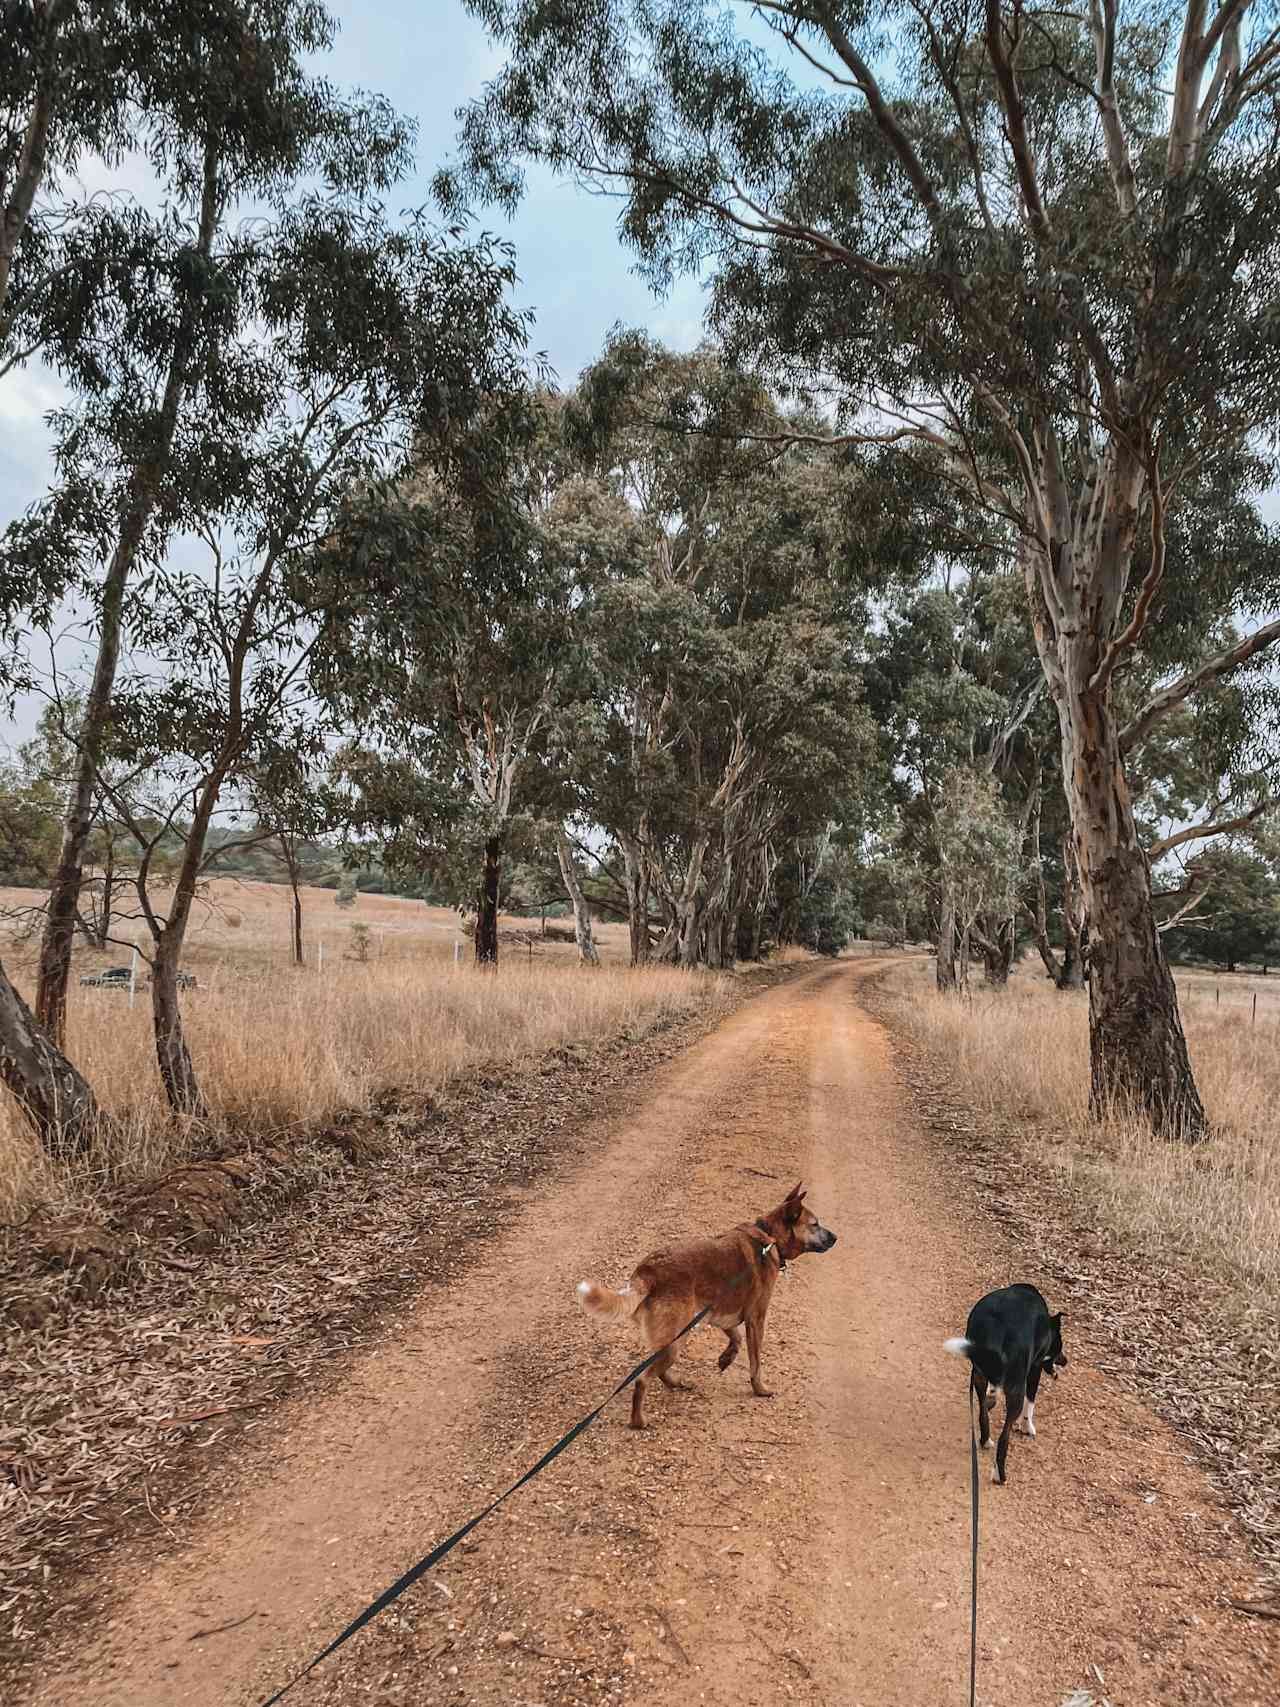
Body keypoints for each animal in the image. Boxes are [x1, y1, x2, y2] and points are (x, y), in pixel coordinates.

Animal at [576, 1181, 836, 1420]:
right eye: (815, 1224)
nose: (835, 1237)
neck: (768, 1236)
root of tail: (648, 1270)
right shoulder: (756, 1319)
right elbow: (755, 1363)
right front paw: (760, 1389)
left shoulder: (719, 1313)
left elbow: (736, 1339)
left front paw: (726, 1358)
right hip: (676, 1342)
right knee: (641, 1379)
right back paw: (638, 1421)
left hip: (673, 1339)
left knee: (655, 1371)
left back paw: (674, 1383)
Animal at [948, 1283, 1064, 1481]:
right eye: (1060, 1346)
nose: (1066, 1361)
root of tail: (997, 1325)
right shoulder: (1035, 1369)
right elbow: (1031, 1401)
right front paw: (1027, 1427)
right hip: (1015, 1390)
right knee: (1005, 1437)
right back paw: (999, 1475)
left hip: (978, 1374)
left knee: (982, 1413)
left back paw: (985, 1439)